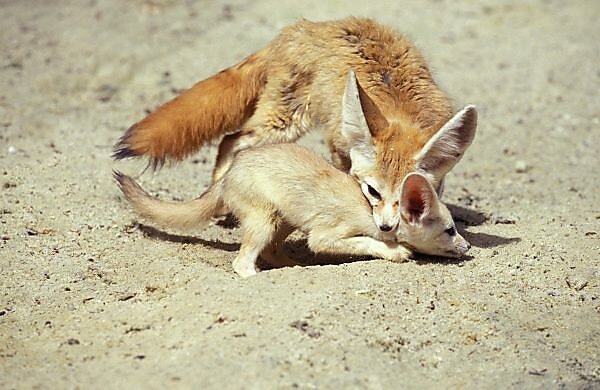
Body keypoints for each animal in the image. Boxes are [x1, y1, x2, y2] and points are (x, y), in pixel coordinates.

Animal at [113, 17, 478, 235]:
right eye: (373, 191)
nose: (387, 228)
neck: (401, 108)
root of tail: (302, 28)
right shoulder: (338, 145)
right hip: (282, 123)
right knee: (230, 141)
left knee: (229, 140)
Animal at [115, 143, 472, 278]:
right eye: (450, 230)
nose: (467, 247)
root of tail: (228, 174)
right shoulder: (325, 235)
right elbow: (367, 242)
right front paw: (396, 251)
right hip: (264, 220)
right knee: (241, 262)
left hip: (283, 220)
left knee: (272, 251)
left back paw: (292, 266)